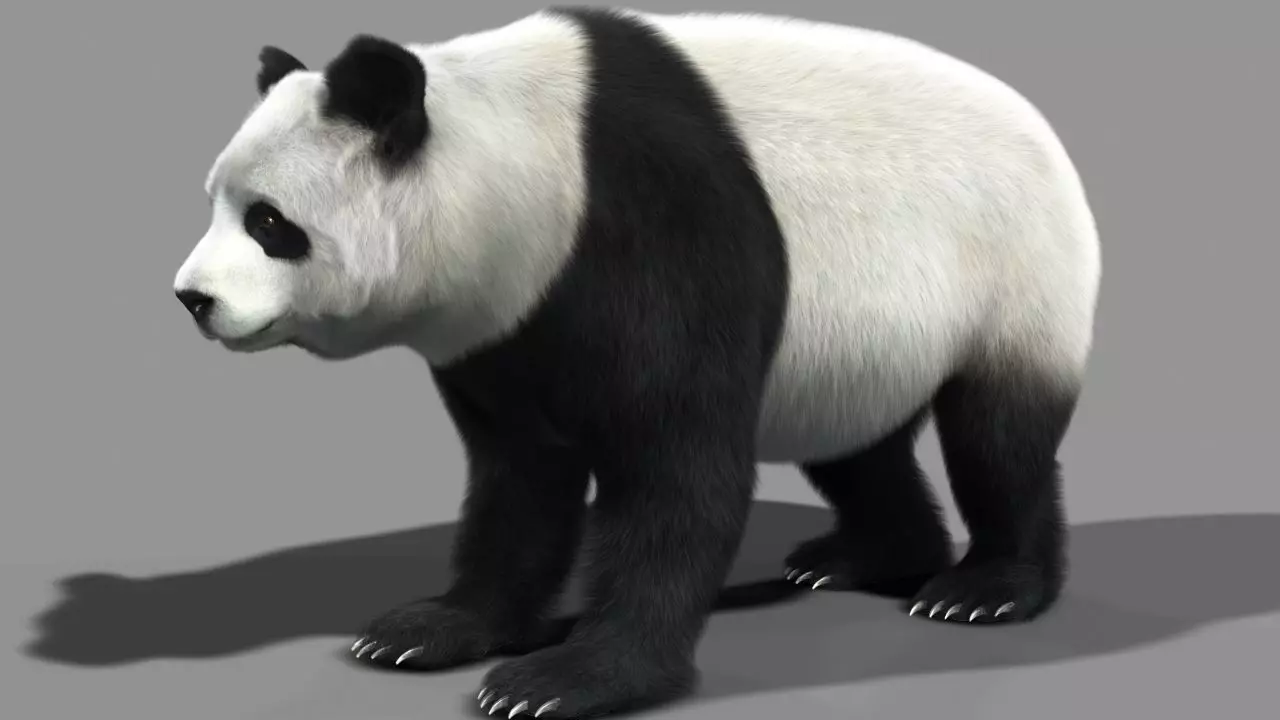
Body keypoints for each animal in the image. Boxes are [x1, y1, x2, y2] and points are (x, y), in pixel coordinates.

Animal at [173, 6, 1101, 718]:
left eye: (270, 223)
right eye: (217, 202)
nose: (191, 298)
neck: (510, 157)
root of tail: (1048, 133)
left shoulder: (653, 222)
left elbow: (676, 469)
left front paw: (565, 680)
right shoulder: (501, 323)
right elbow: (519, 479)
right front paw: (429, 629)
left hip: (1016, 267)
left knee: (999, 437)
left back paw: (981, 589)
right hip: (863, 345)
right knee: (856, 447)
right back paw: (862, 557)